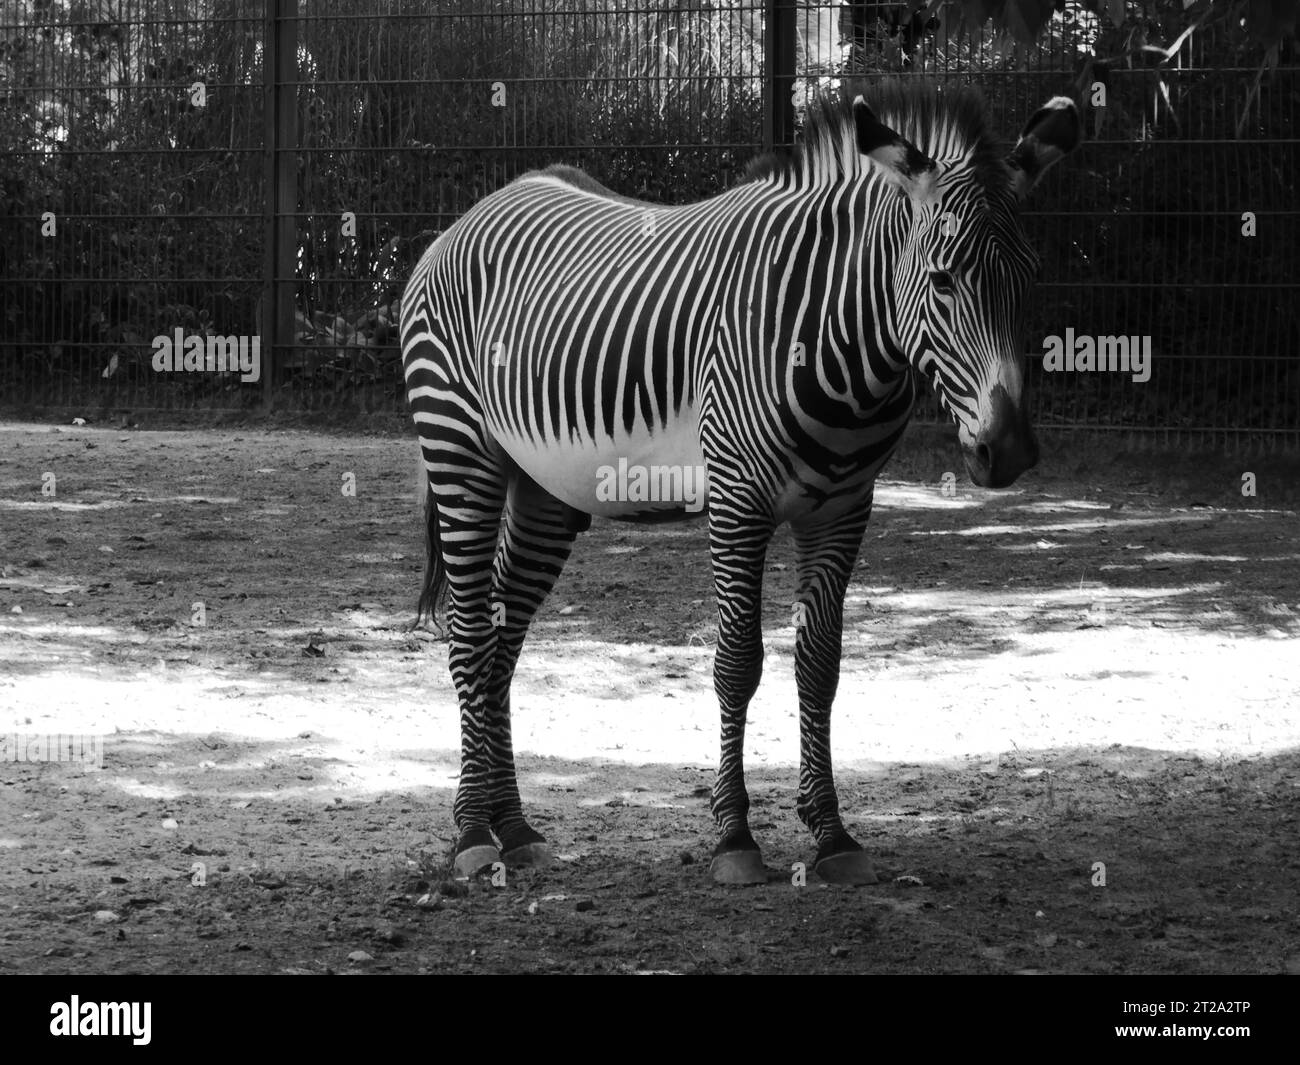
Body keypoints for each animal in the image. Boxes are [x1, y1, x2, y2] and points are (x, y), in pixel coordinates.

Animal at [401, 81, 1080, 885]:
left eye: (1030, 276)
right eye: (943, 280)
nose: (1008, 451)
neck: (839, 340)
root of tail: (473, 212)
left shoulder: (843, 509)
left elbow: (820, 665)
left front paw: (832, 833)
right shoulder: (738, 501)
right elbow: (737, 662)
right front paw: (734, 836)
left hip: (545, 490)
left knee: (503, 637)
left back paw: (514, 826)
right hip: (460, 450)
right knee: (471, 634)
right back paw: (473, 832)